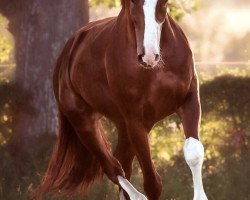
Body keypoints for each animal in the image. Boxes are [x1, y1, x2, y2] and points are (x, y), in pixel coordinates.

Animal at [34, 0, 207, 200]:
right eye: (132, 3)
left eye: (163, 3)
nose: (148, 56)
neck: (155, 70)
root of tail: (68, 49)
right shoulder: (135, 119)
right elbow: (152, 183)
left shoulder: (189, 101)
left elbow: (193, 151)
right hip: (84, 122)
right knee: (112, 167)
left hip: (125, 126)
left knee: (122, 163)